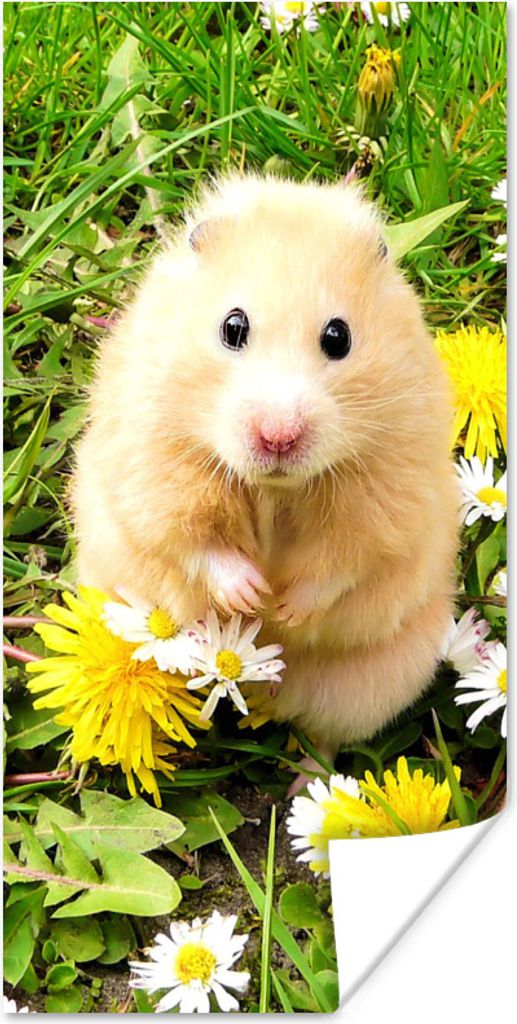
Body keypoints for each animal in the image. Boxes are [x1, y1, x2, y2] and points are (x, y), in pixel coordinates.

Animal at [72, 174, 458, 761]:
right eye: (233, 328)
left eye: (338, 337)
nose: (279, 437)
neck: (275, 488)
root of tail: (263, 687)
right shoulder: (154, 466)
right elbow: (192, 541)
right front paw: (252, 598)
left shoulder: (389, 494)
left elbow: (346, 561)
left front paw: (285, 611)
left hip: (371, 683)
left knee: (325, 738)